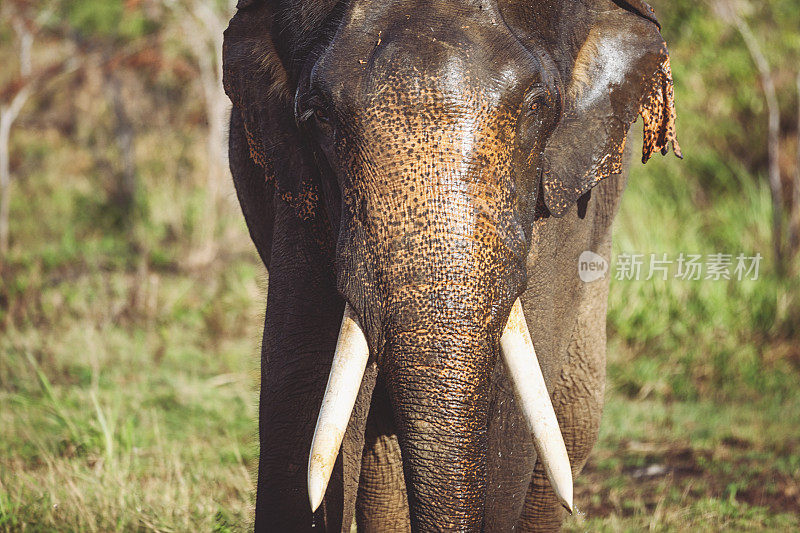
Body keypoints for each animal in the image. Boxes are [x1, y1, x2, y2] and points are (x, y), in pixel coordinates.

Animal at [222, 1, 680, 528]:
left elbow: (517, 407)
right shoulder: (301, 189)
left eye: (536, 105)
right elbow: (298, 385)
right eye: (318, 116)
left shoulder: (561, 195)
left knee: (573, 420)